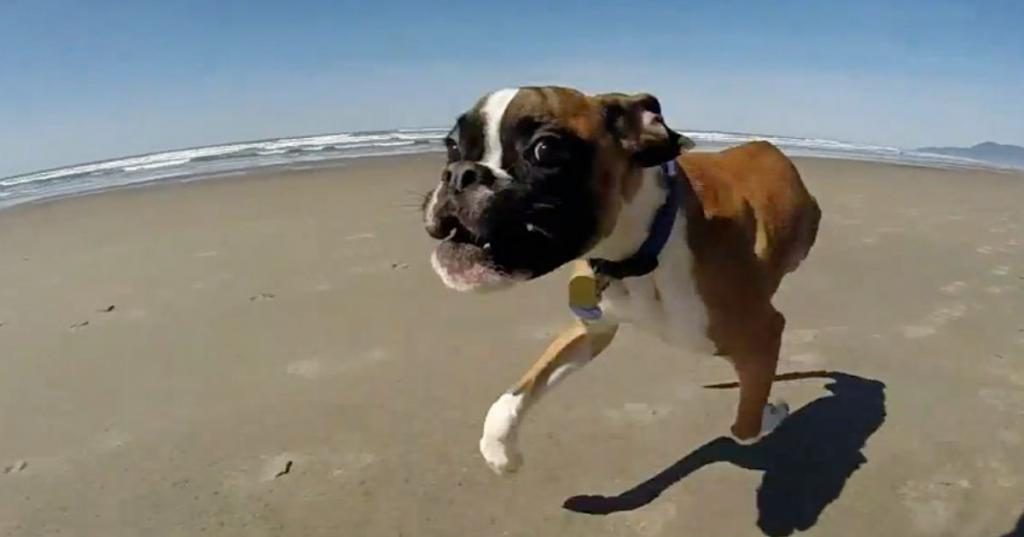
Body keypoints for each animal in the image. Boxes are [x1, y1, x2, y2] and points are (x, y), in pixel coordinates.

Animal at [419, 85, 819, 473]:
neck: (640, 248)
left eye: (545, 149)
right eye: (452, 146)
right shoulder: (591, 330)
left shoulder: (765, 332)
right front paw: (501, 450)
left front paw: (772, 412)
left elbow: (745, 426)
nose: (459, 174)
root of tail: (764, 145)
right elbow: (515, 394)